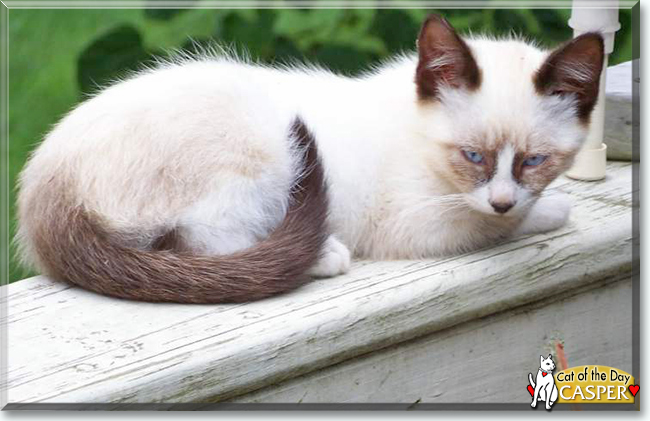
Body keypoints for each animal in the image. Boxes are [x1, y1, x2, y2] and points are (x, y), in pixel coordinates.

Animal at [13, 13, 604, 302]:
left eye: (535, 161)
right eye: (472, 155)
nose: (503, 200)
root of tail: (46, 187)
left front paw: (539, 205)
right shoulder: (416, 221)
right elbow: (502, 223)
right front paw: (549, 211)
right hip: (265, 147)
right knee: (200, 240)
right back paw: (324, 255)